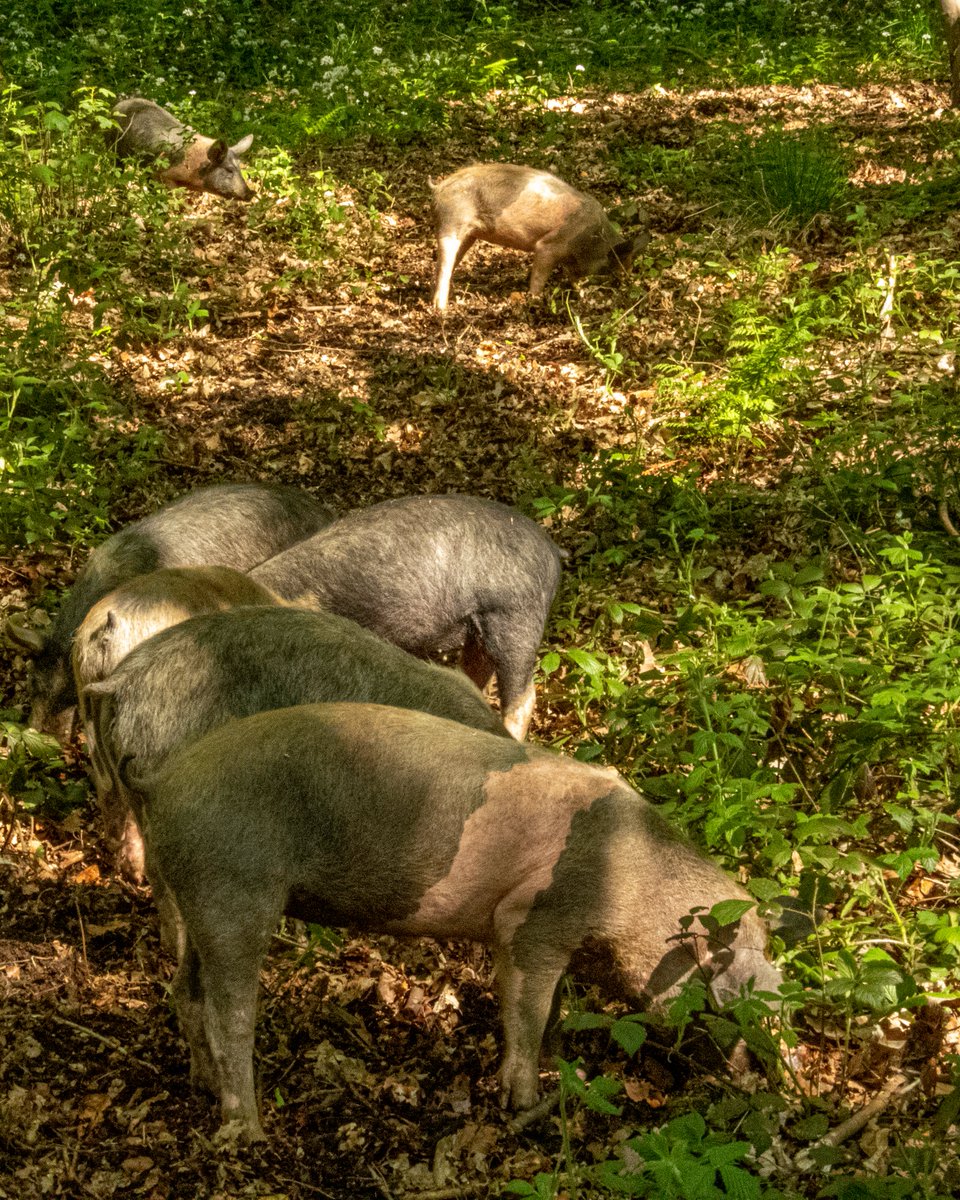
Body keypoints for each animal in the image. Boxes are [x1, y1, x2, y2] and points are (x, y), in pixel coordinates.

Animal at [110, 98, 255, 201]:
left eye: (240, 168)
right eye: (229, 170)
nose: (251, 193)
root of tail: (118, 105)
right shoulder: (161, 175)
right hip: (113, 146)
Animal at [134, 703, 782, 1141]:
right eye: (726, 995)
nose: (762, 1075)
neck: (628, 878)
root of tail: (162, 781)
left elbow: (551, 1013)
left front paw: (554, 1068)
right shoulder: (530, 921)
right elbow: (526, 1011)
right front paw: (524, 1103)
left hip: (191, 892)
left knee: (184, 990)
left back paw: (201, 1085)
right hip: (232, 890)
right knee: (229, 1013)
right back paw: (248, 1130)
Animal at [430, 163, 646, 310]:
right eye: (614, 271)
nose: (628, 287)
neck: (593, 239)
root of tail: (440, 187)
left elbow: (574, 279)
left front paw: (579, 294)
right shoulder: (547, 246)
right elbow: (539, 277)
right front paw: (534, 300)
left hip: (468, 234)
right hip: (450, 223)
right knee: (443, 265)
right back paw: (441, 309)